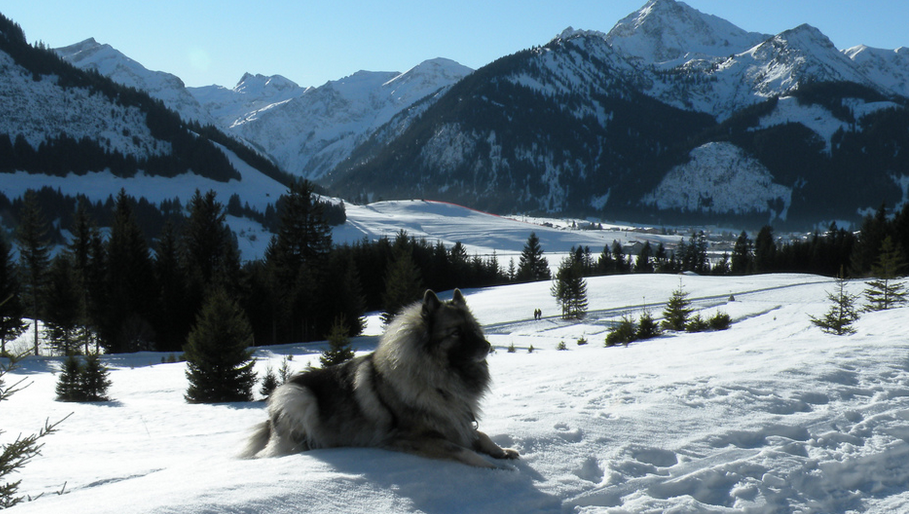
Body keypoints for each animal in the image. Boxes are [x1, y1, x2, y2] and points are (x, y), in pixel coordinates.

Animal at [241, 289, 519, 468]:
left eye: (473, 329)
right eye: (456, 332)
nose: (487, 345)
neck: (438, 381)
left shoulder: (460, 421)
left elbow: (480, 435)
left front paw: (501, 452)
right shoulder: (413, 437)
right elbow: (460, 450)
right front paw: (496, 467)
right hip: (299, 396)